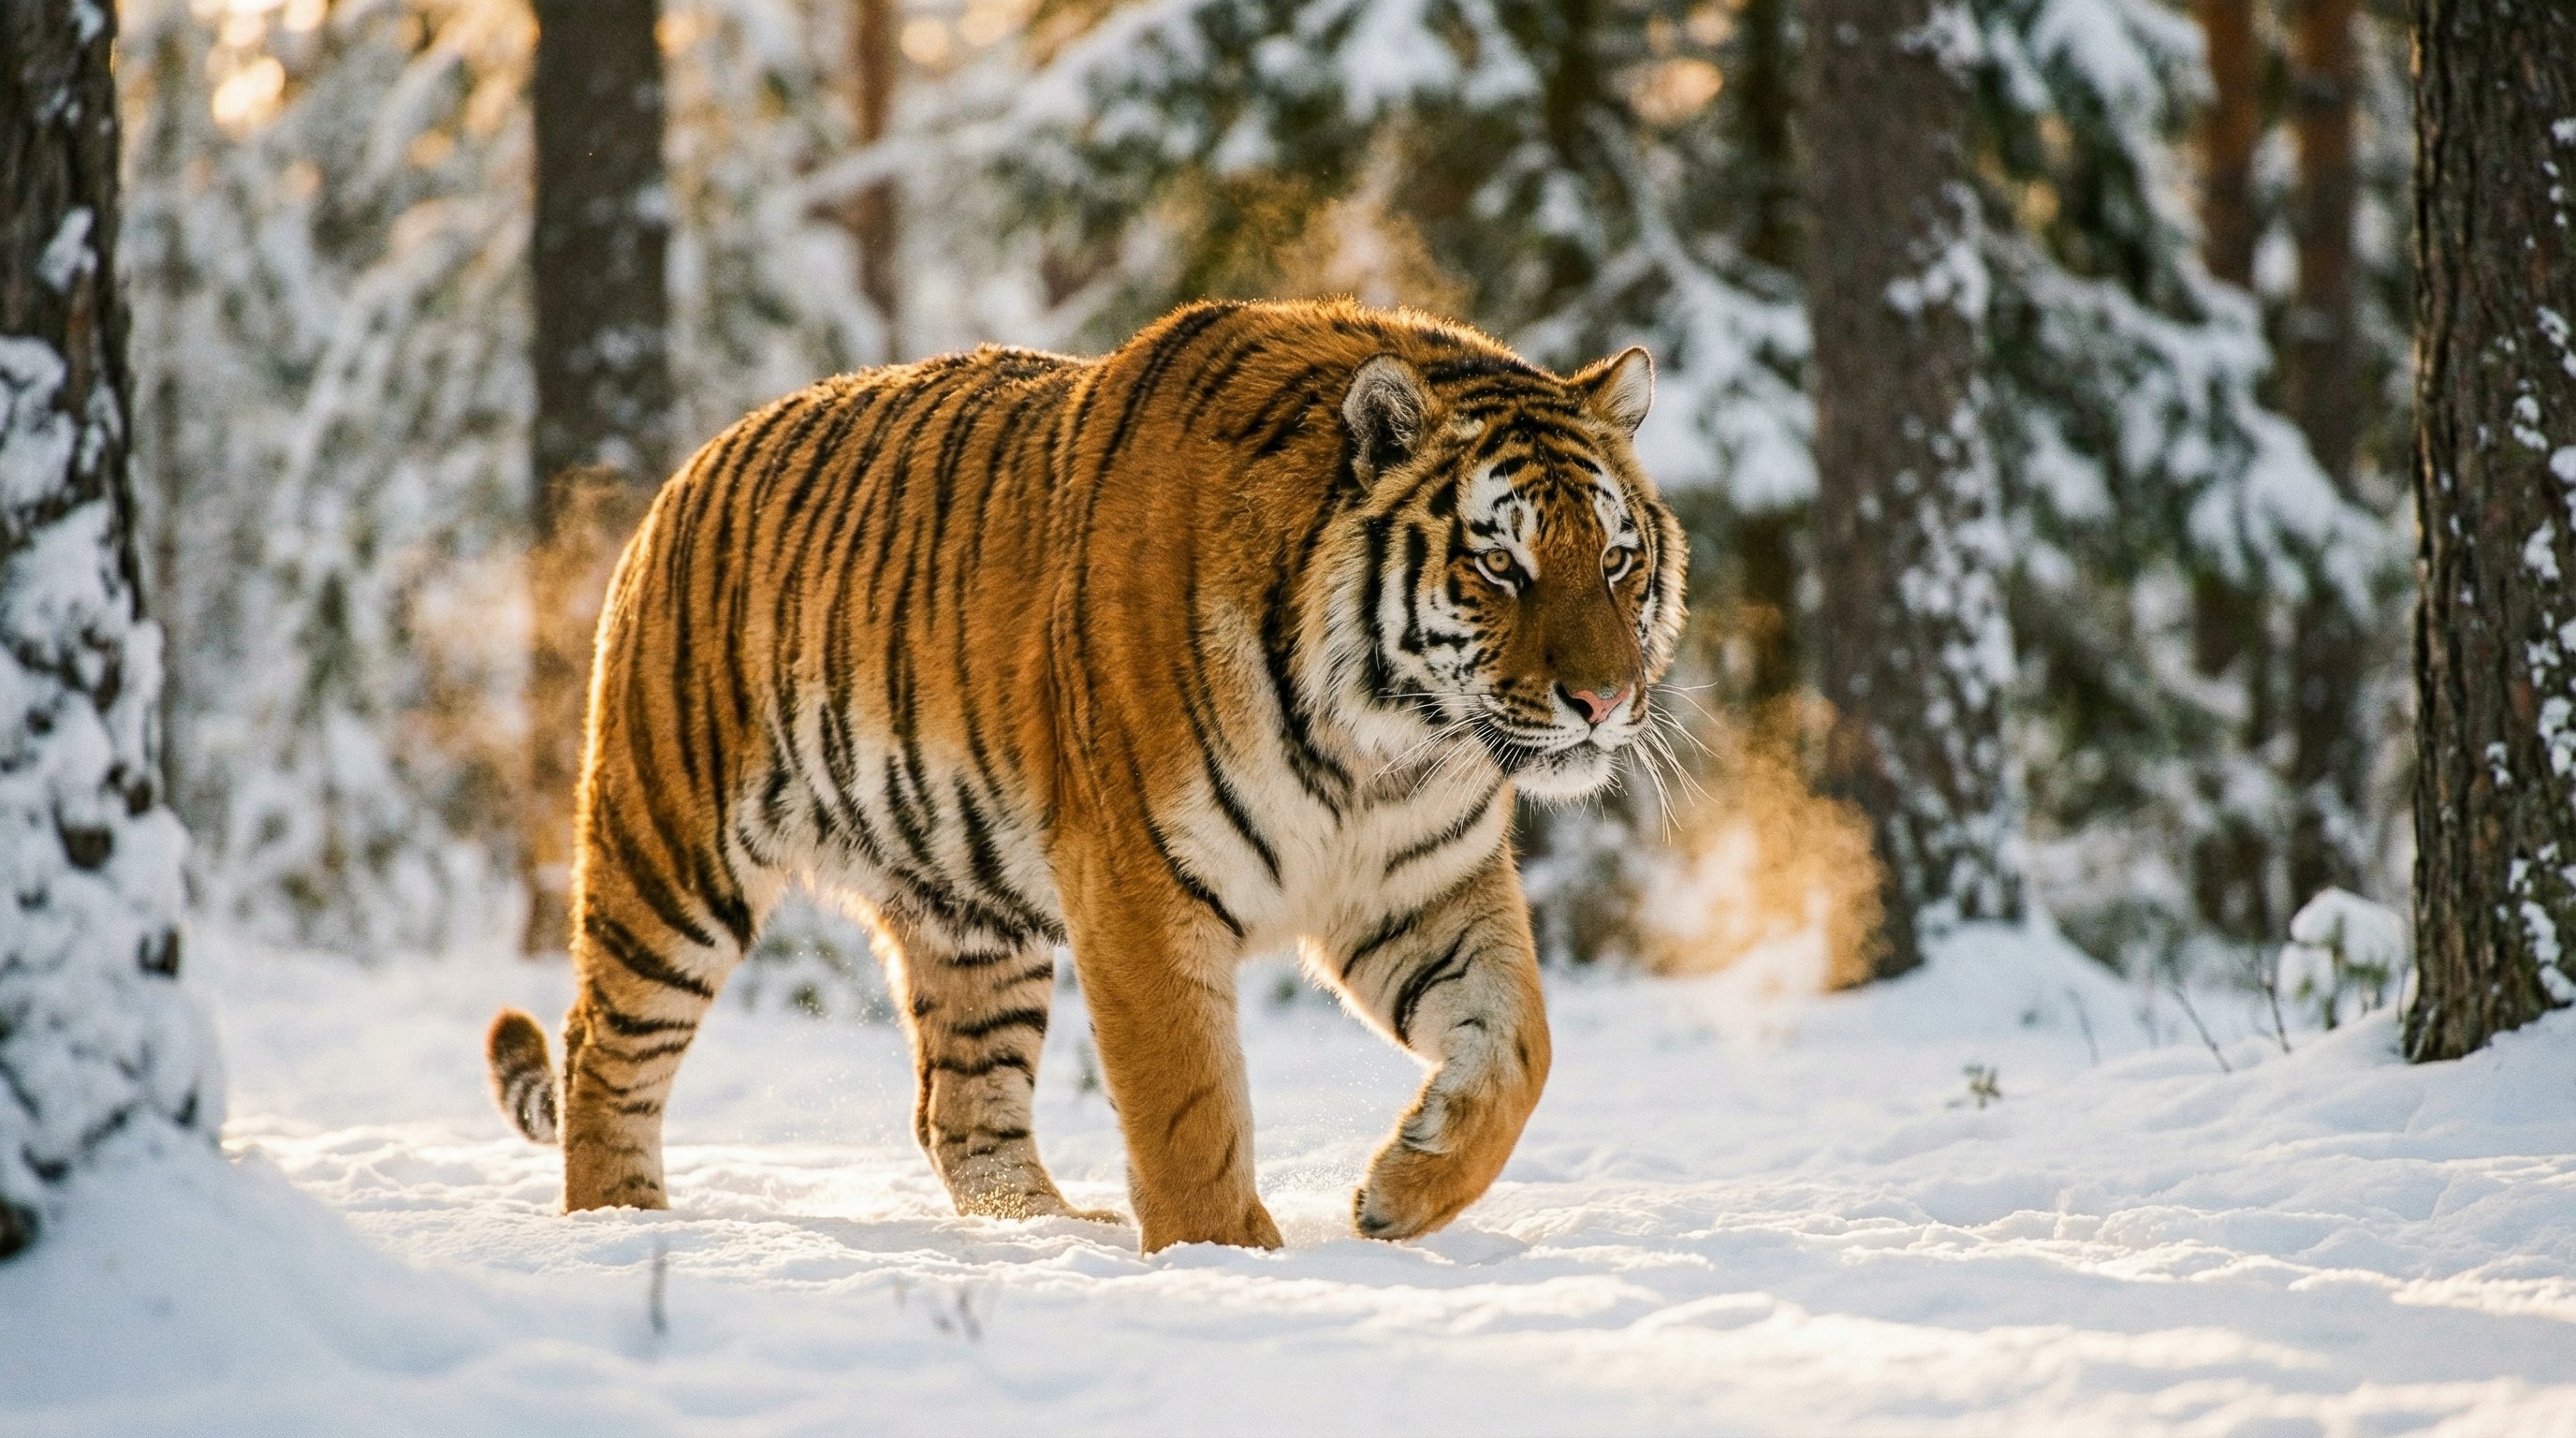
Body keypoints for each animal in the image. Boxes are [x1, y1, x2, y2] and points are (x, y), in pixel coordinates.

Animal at [484, 298, 1687, 1251]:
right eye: (1500, 564)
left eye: (1615, 561)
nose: (1602, 701)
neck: (1385, 745)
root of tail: (684, 474)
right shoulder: (1142, 882)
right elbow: (1188, 1101)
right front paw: (1227, 1258)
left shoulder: (1420, 884)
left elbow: (1520, 1045)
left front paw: (1404, 1190)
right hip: (673, 859)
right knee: (602, 1051)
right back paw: (619, 1223)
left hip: (971, 915)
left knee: (958, 1109)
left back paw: (1045, 1232)